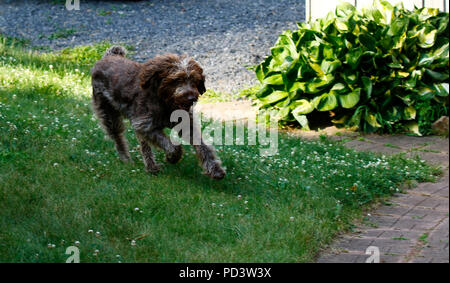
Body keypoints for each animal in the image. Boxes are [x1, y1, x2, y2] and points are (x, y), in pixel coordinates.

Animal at [90, 46, 225, 180]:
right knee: (118, 137)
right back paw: (127, 159)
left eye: (194, 80)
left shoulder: (186, 125)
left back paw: (151, 167)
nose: (191, 98)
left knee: (143, 145)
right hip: (108, 115)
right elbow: (171, 146)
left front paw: (215, 169)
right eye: (177, 79)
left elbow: (203, 147)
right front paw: (172, 157)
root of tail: (107, 56)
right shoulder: (145, 126)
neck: (165, 103)